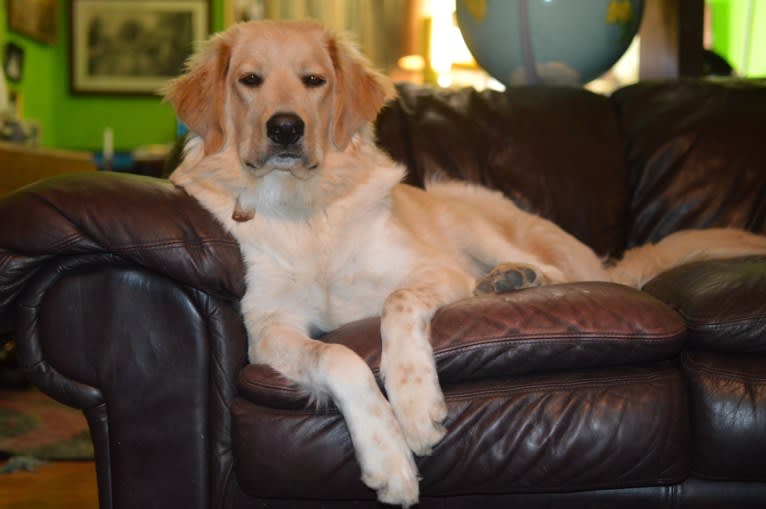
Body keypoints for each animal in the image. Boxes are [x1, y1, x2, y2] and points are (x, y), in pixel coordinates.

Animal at [166, 18, 766, 504]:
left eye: (314, 80)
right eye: (250, 80)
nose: (285, 128)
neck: (307, 211)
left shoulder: (435, 271)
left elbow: (396, 304)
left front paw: (413, 407)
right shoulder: (270, 329)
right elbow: (339, 357)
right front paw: (387, 455)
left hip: (474, 213)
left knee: (561, 272)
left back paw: (513, 279)